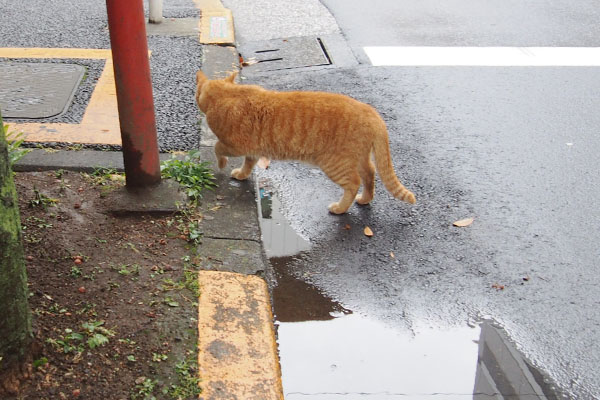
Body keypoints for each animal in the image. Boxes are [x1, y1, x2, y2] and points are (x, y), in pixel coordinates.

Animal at [195, 70, 414, 214]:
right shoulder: (253, 150)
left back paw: (340, 208)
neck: (228, 94)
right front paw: (242, 174)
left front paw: (222, 164)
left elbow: (217, 147)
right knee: (370, 173)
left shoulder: (235, 145)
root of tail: (371, 111)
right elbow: (248, 164)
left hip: (335, 163)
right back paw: (365, 198)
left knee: (354, 182)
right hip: (359, 158)